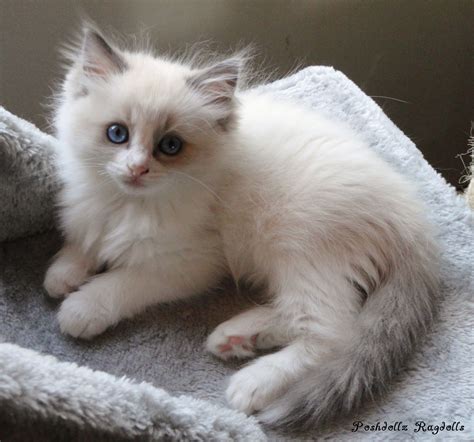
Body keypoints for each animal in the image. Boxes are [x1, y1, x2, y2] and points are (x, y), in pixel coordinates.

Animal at [42, 25, 438, 426]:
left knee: (334, 331)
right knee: (304, 315)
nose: (137, 169)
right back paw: (236, 338)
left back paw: (252, 383)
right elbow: (83, 240)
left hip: (297, 246)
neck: (125, 204)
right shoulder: (88, 210)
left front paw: (81, 307)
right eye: (117, 134)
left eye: (170, 146)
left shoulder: (191, 262)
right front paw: (63, 273)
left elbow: (121, 281)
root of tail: (412, 215)